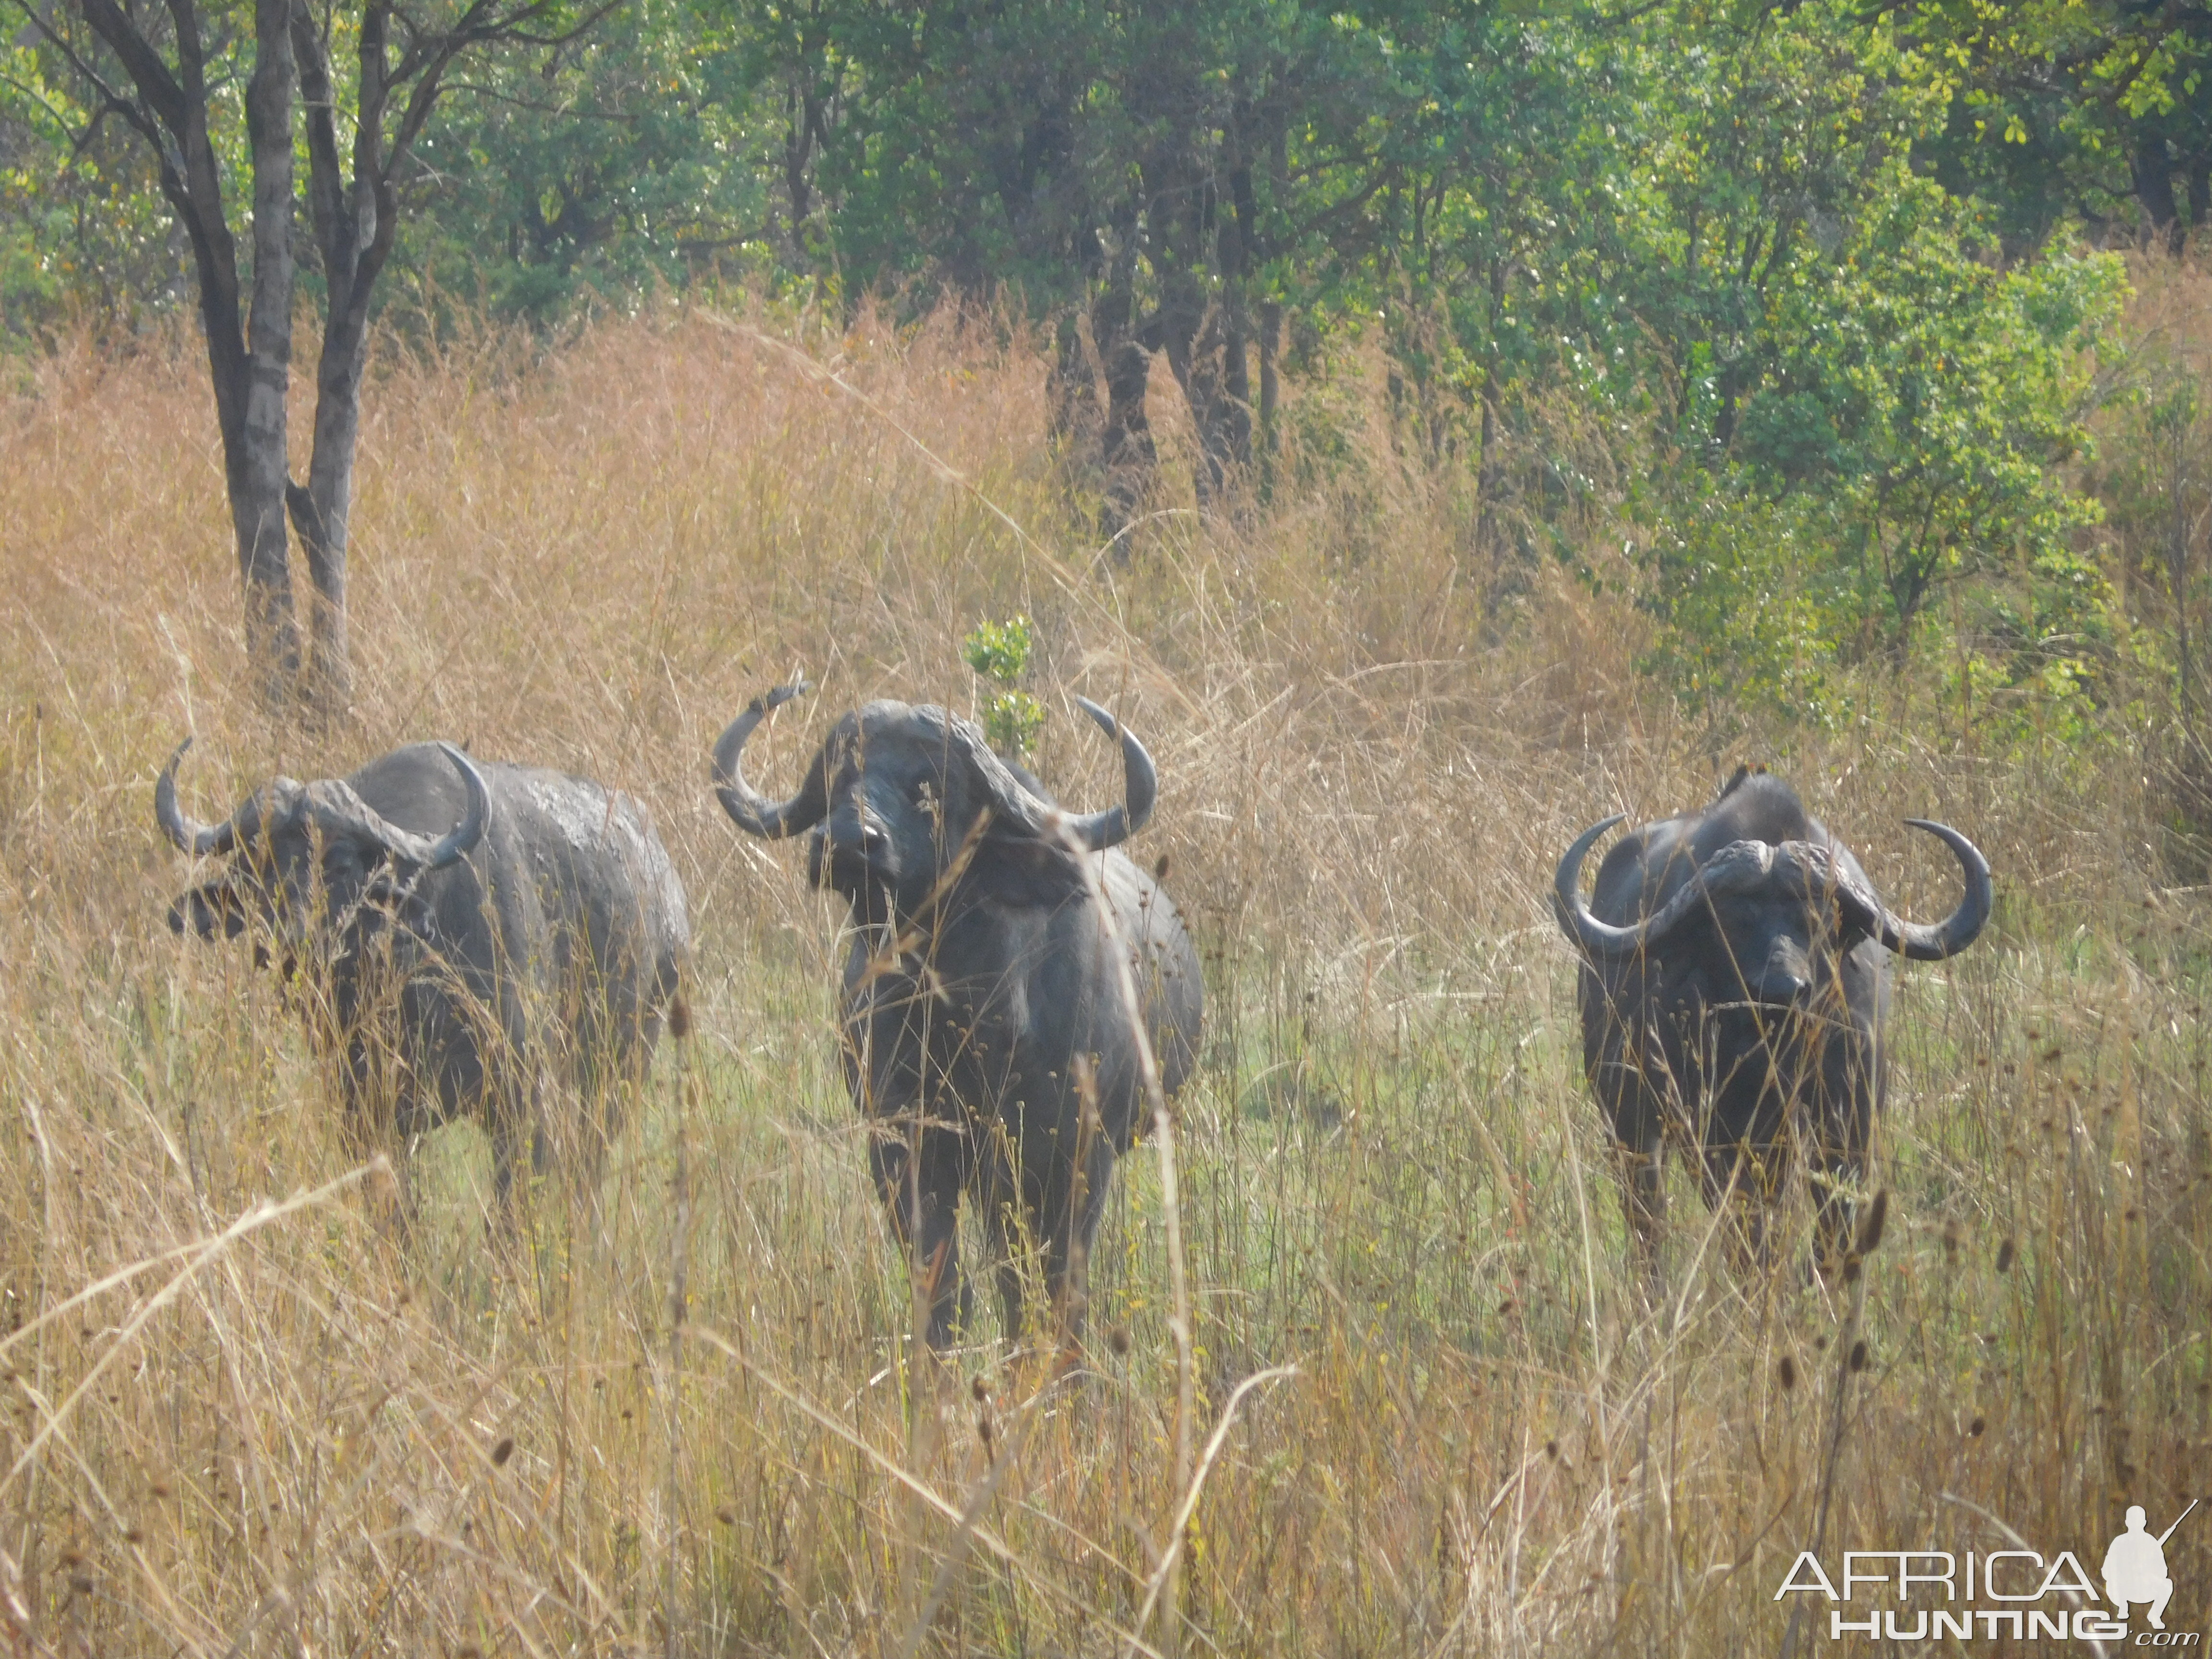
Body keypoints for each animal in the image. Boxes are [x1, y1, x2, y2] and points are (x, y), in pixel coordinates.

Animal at [157, 739, 685, 1212]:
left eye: (341, 864)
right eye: (256, 865)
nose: (290, 938)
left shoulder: (524, 1106)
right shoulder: (365, 1116)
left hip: (623, 1064)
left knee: (588, 1167)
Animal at [712, 685, 1203, 1354]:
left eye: (932, 785)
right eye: (842, 777)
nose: (846, 841)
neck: (968, 1030)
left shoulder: (1076, 1161)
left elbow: (1054, 1295)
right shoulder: (902, 1151)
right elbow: (944, 1291)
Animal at [1548, 769, 1999, 1283]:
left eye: (1818, 919)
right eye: (1729, 921)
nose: (1783, 989)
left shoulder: (1853, 1118)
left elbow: (1837, 1222)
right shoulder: (1715, 1132)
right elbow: (1747, 1230)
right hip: (1627, 1119)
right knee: (1648, 1217)